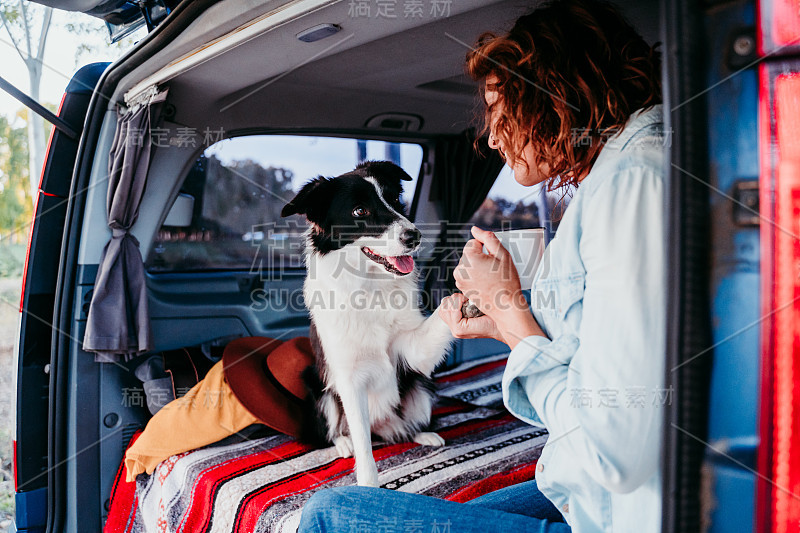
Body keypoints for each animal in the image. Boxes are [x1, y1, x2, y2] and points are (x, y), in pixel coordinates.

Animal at [282, 159, 454, 486]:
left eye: (395, 198)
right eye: (359, 211)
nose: (414, 236)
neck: (370, 288)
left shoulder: (411, 349)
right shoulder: (349, 380)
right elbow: (363, 444)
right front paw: (369, 486)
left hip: (421, 386)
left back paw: (422, 434)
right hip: (318, 384)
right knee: (337, 431)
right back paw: (343, 443)